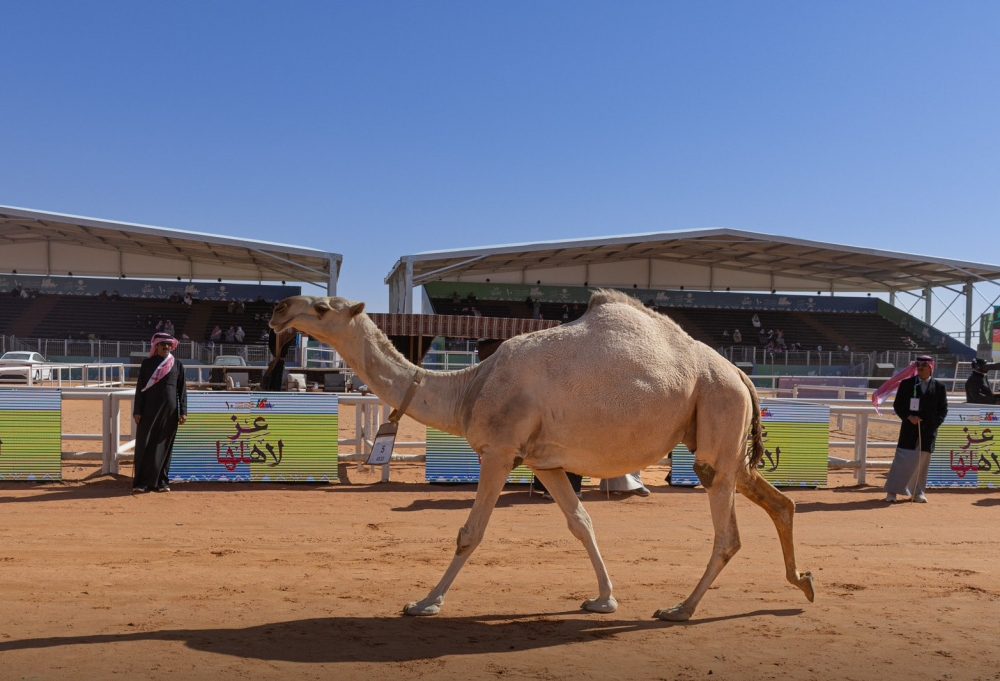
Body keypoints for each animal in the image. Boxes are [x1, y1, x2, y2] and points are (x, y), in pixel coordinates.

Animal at [269, 290, 814, 621]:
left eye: (323, 308)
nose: (278, 308)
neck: (469, 387)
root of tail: (740, 372)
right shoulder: (544, 462)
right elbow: (581, 523)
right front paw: (604, 599)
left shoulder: (499, 449)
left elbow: (470, 533)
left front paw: (424, 603)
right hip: (717, 433)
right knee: (778, 501)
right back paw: (803, 582)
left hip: (718, 410)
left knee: (727, 532)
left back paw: (680, 610)